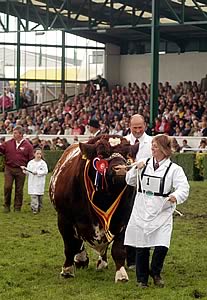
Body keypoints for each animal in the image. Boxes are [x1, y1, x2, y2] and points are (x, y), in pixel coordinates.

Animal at [49, 135, 138, 282]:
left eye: (127, 154)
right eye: (101, 154)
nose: (121, 169)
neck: (104, 198)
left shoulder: (124, 219)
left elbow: (118, 249)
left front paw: (121, 274)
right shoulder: (64, 218)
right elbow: (69, 246)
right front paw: (67, 270)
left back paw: (102, 263)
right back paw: (81, 259)